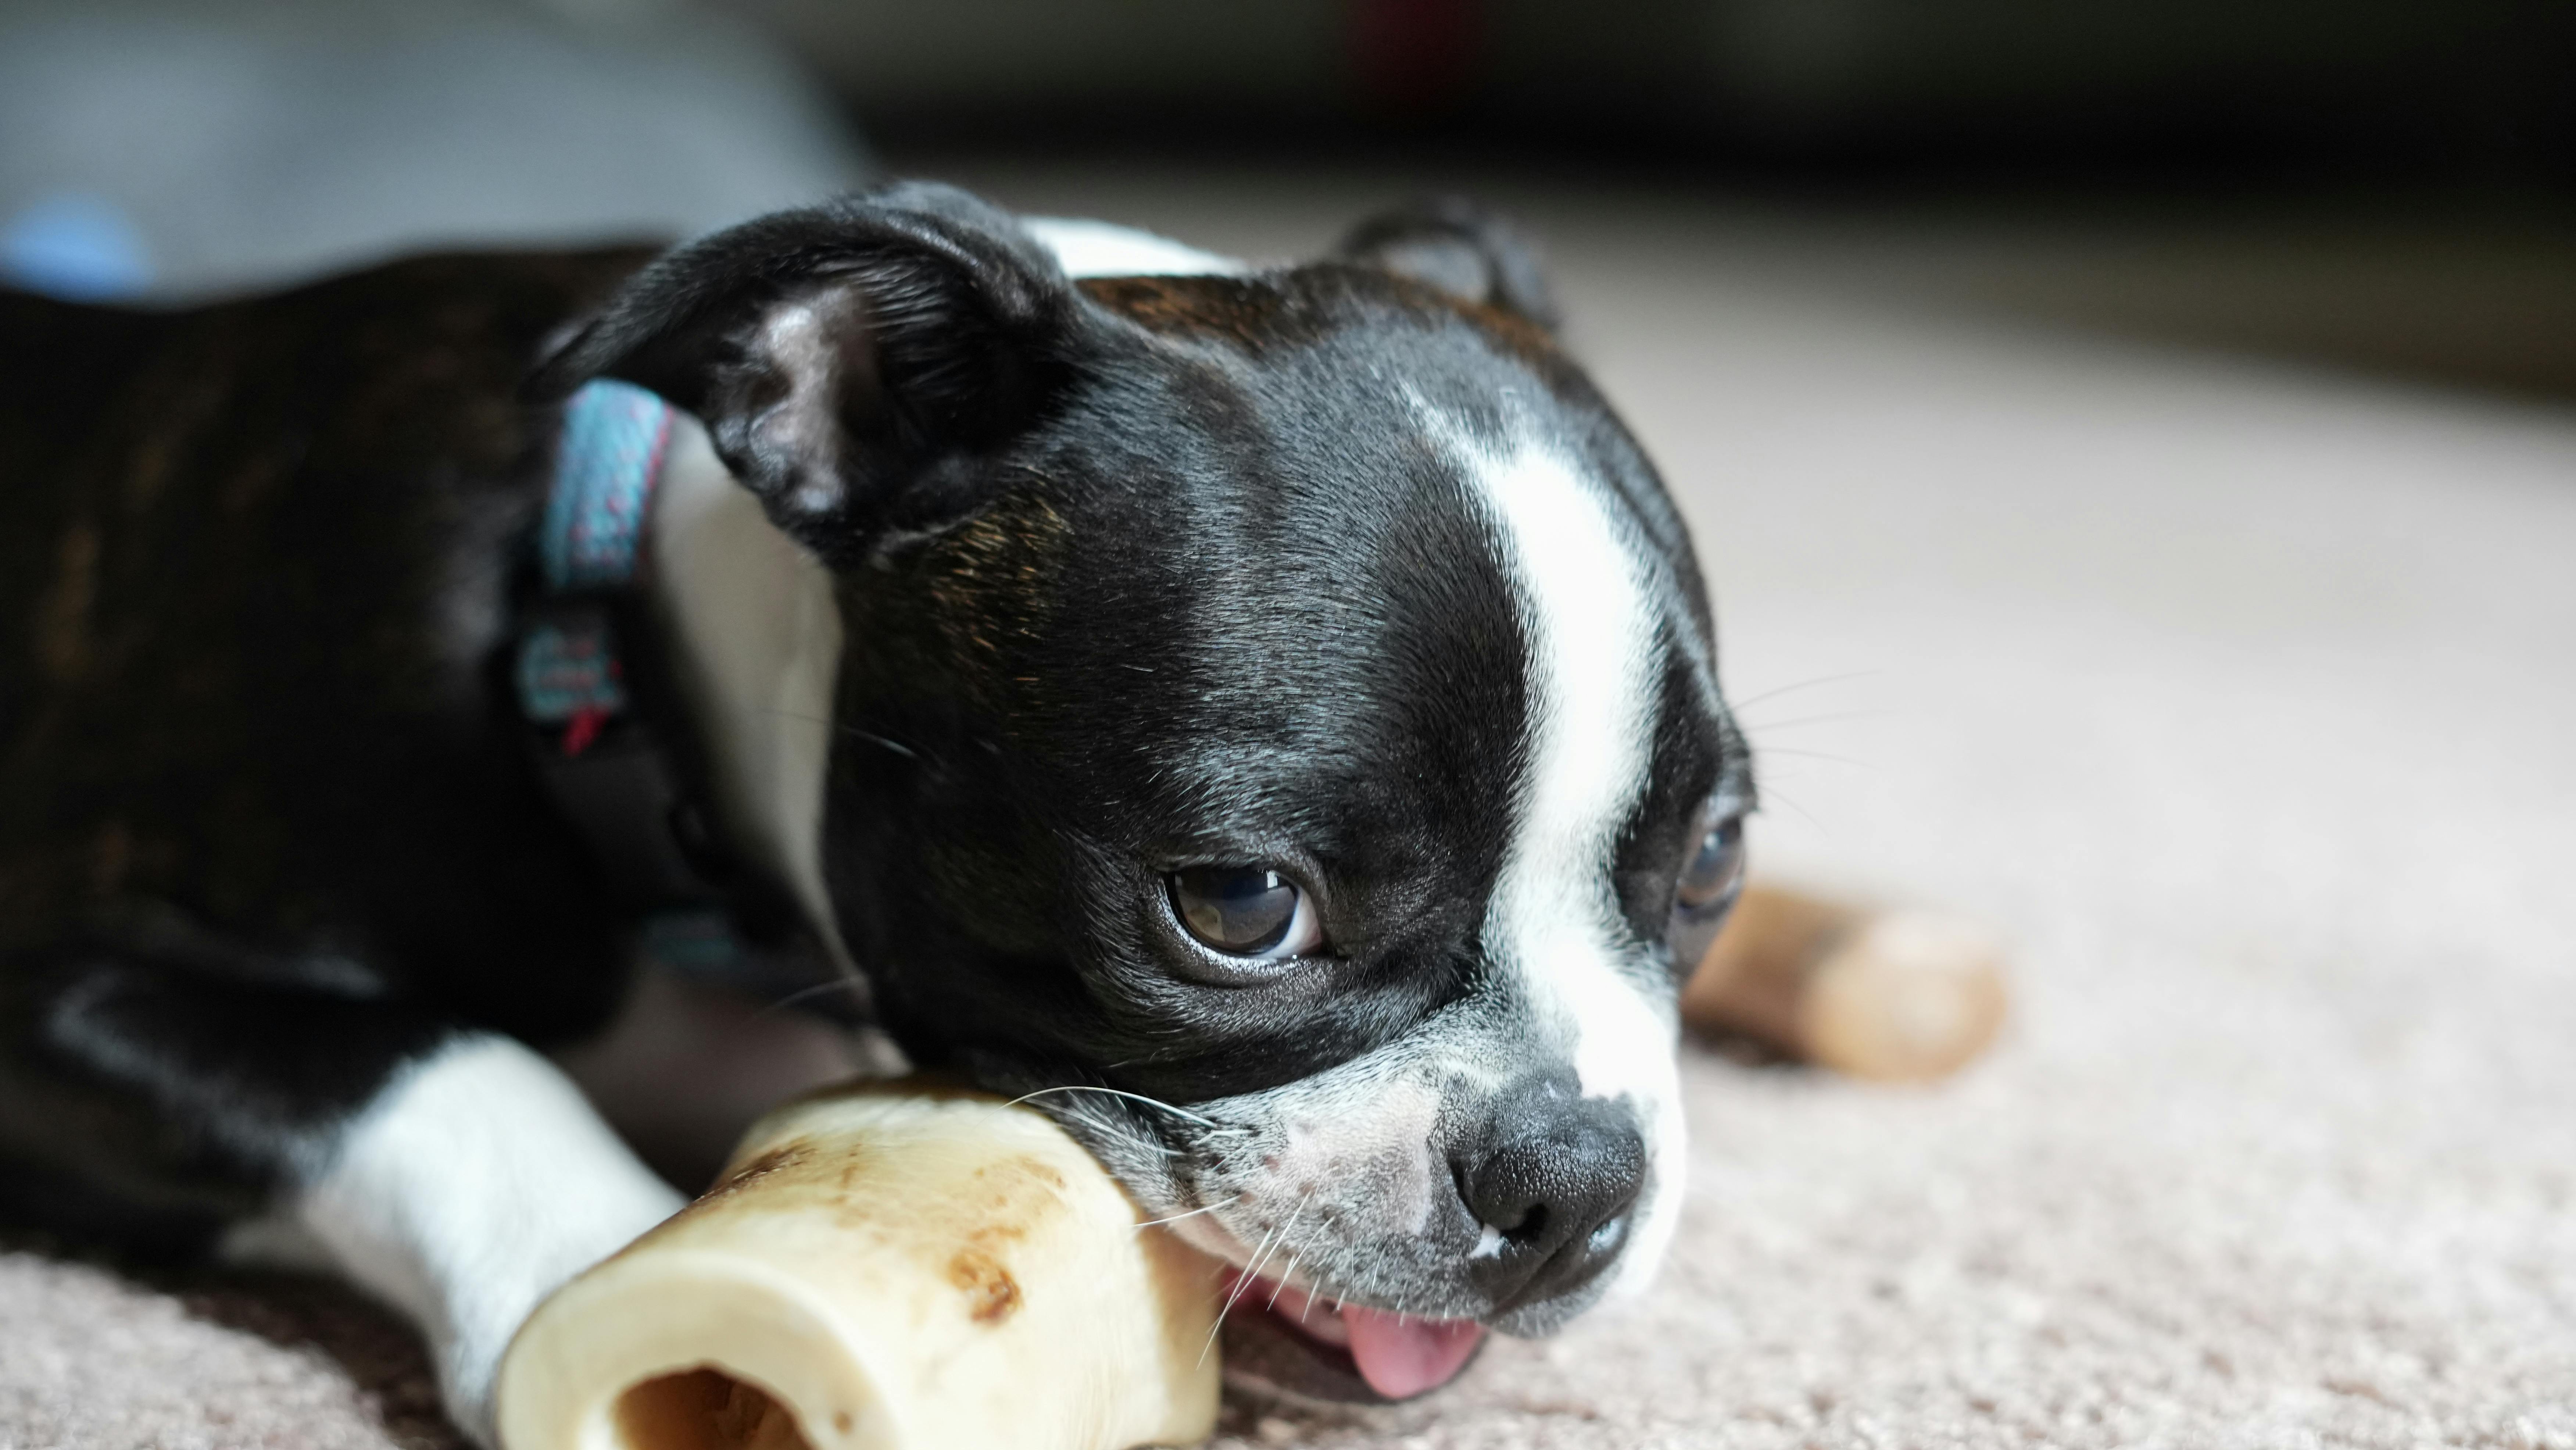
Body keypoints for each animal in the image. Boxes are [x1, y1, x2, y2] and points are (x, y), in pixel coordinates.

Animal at [0, 186, 1752, 1442]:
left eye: (1714, 861)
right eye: (1243, 904)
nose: (1573, 1179)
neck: (616, 652)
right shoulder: (49, 989)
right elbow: (432, 1062)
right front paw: (594, 1257)